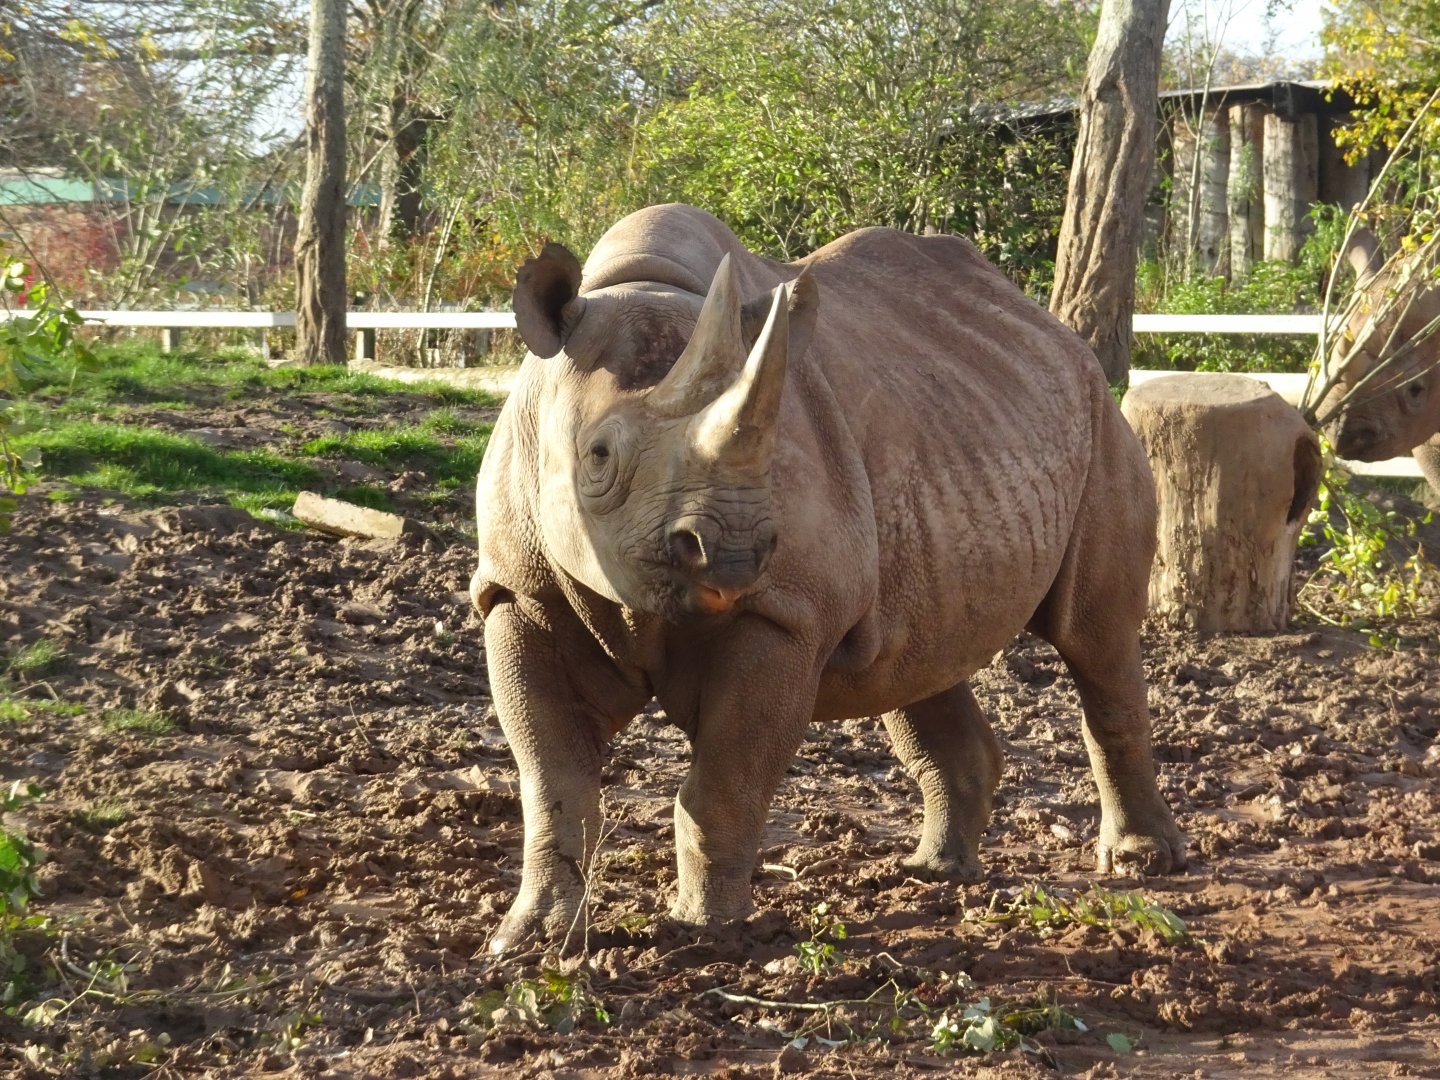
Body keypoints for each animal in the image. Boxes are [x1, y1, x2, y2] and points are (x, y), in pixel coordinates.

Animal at [472, 204, 1184, 953]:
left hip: (1101, 421)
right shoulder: (520, 590)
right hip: (957, 428)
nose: (732, 553)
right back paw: (936, 871)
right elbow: (554, 777)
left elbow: (726, 779)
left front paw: (711, 932)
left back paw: (1141, 864)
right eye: (599, 457)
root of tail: (1055, 333)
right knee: (914, 657)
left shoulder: (784, 613)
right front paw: (529, 939)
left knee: (1094, 637)